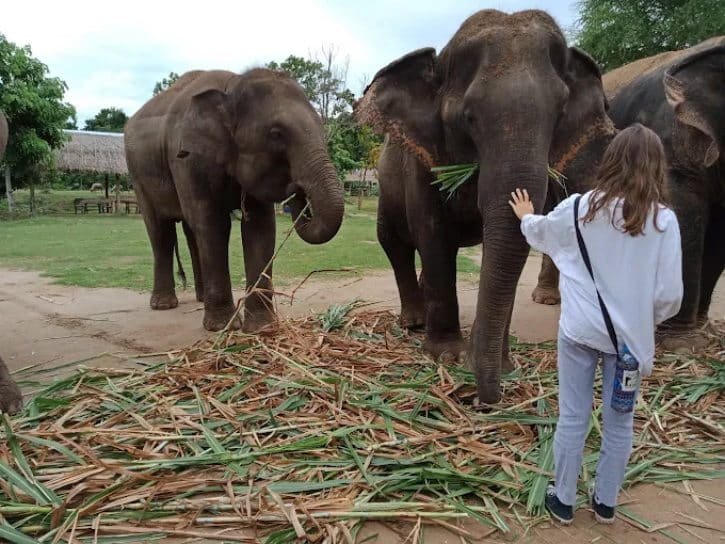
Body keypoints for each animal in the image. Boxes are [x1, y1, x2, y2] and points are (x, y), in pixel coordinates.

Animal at [125, 69, 344, 332]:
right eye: (276, 134)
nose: (296, 188)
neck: (232, 86)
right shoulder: (189, 160)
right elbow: (214, 224)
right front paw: (222, 327)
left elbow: (260, 227)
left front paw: (261, 328)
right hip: (138, 176)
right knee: (161, 233)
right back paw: (164, 305)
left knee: (191, 231)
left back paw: (201, 298)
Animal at [355, 10, 616, 404]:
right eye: (468, 117)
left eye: (559, 114)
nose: (481, 397)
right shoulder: (420, 163)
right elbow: (432, 236)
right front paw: (446, 355)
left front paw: (498, 362)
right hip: (386, 189)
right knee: (395, 243)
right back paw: (414, 323)